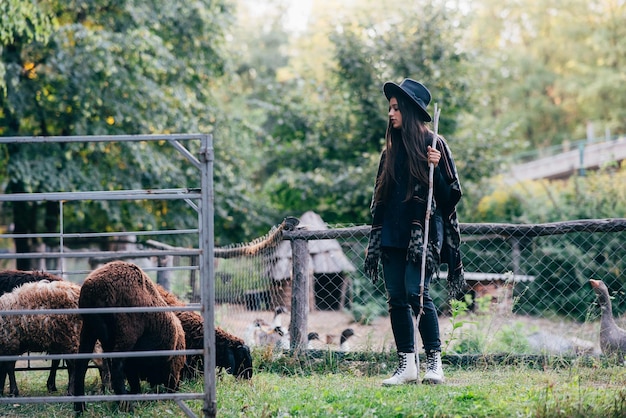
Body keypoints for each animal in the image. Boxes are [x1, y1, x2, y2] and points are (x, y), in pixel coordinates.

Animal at [73, 260, 185, 414]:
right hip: (126, 333)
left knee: (81, 364)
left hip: (89, 329)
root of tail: (93, 288)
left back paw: (80, 408)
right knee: (116, 365)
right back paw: (125, 405)